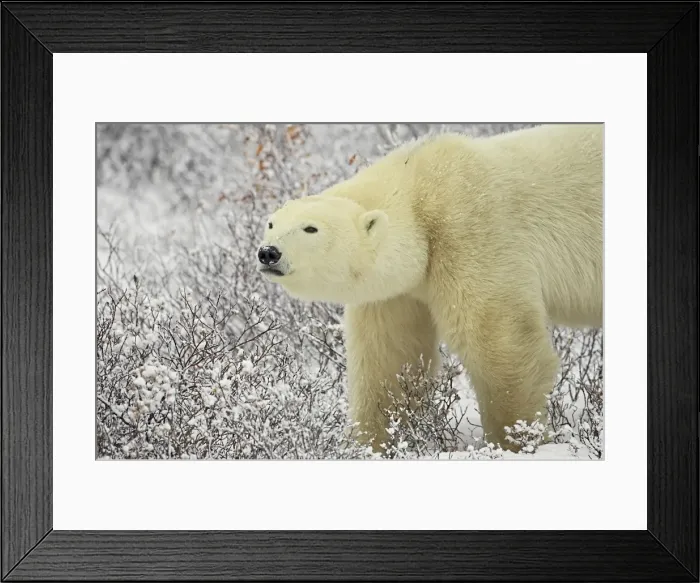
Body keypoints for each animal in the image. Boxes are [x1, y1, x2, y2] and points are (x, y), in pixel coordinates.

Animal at [256, 123, 603, 454]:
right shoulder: (398, 291)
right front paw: (374, 443)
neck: (419, 185)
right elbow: (389, 358)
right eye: (271, 223)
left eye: (310, 228)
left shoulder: (470, 230)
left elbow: (499, 341)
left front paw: (516, 440)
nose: (268, 252)